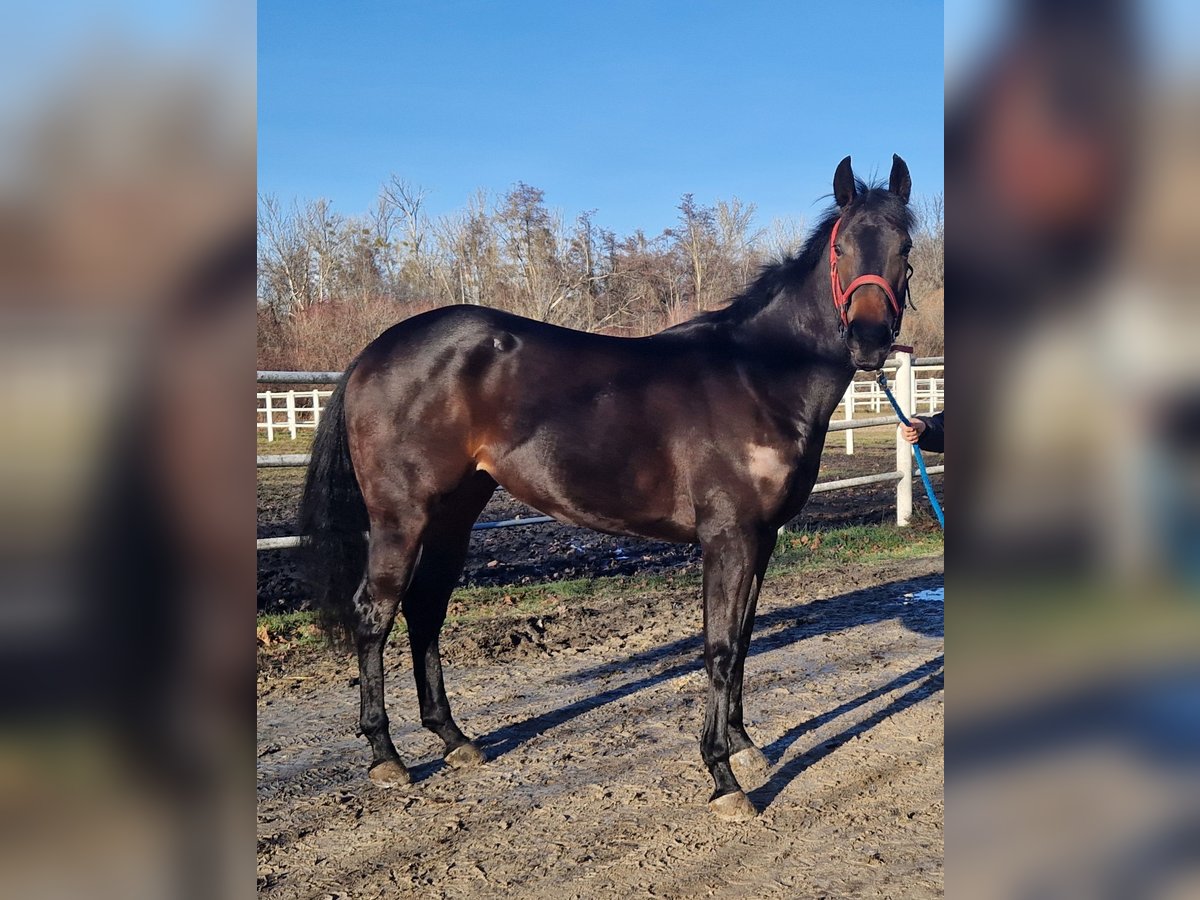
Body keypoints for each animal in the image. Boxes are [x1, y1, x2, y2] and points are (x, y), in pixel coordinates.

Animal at [300, 157, 916, 825]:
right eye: (841, 247)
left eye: (905, 247)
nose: (869, 339)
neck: (758, 375)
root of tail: (373, 353)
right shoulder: (728, 537)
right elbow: (720, 646)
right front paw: (723, 778)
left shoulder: (762, 538)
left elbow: (746, 640)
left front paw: (745, 746)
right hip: (401, 516)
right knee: (376, 612)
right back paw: (386, 756)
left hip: (454, 515)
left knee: (425, 609)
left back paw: (454, 739)